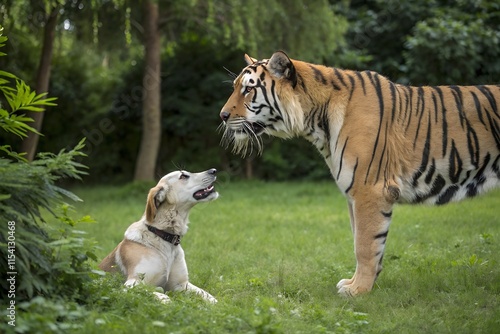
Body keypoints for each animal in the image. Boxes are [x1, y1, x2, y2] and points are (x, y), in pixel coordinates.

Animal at [99, 168, 219, 304]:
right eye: (183, 176)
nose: (214, 170)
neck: (164, 236)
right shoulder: (131, 283)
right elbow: (155, 293)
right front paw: (166, 301)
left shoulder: (182, 284)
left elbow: (208, 296)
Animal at [220, 51, 500, 296]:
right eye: (235, 87)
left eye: (248, 89)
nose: (222, 116)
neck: (317, 123)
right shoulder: (353, 194)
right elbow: (363, 241)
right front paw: (359, 283)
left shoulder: (369, 190)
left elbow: (365, 245)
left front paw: (358, 291)